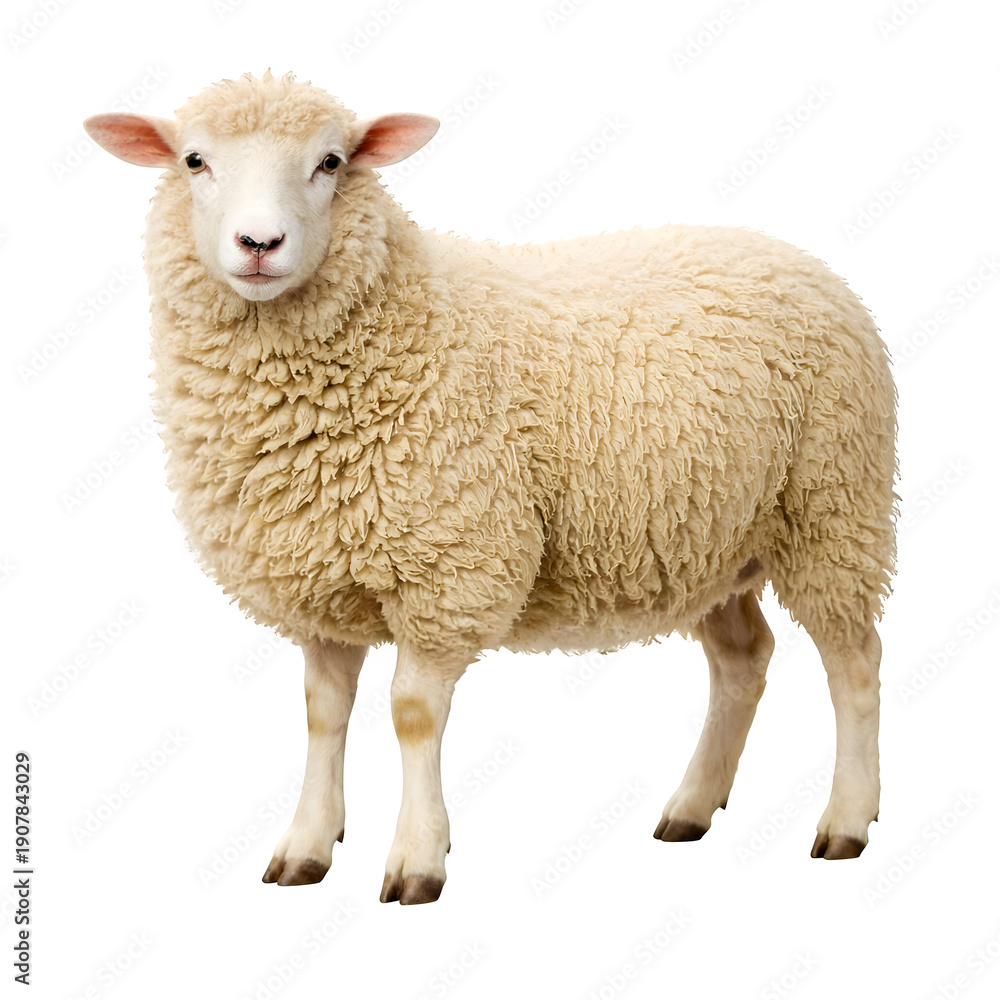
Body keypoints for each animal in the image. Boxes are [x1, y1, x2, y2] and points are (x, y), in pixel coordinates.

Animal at [84, 71, 897, 905]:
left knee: (854, 663)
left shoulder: (448, 569)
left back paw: (847, 820)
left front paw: (417, 858)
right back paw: (692, 807)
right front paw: (307, 846)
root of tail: (801, 259)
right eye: (193, 161)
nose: (258, 245)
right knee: (743, 659)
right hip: (709, 535)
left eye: (331, 162)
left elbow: (412, 715)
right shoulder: (321, 582)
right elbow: (322, 716)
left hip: (834, 508)